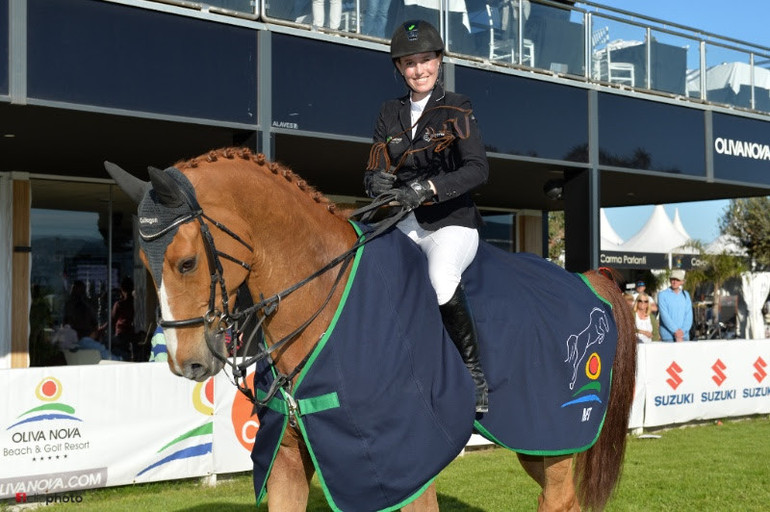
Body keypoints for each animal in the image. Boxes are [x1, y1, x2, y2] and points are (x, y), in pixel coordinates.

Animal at [108, 147, 636, 512]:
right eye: (143, 264)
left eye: (186, 262)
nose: (186, 361)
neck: (323, 293)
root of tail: (586, 281)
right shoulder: (289, 458)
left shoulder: (406, 465)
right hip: (536, 441)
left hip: (552, 435)